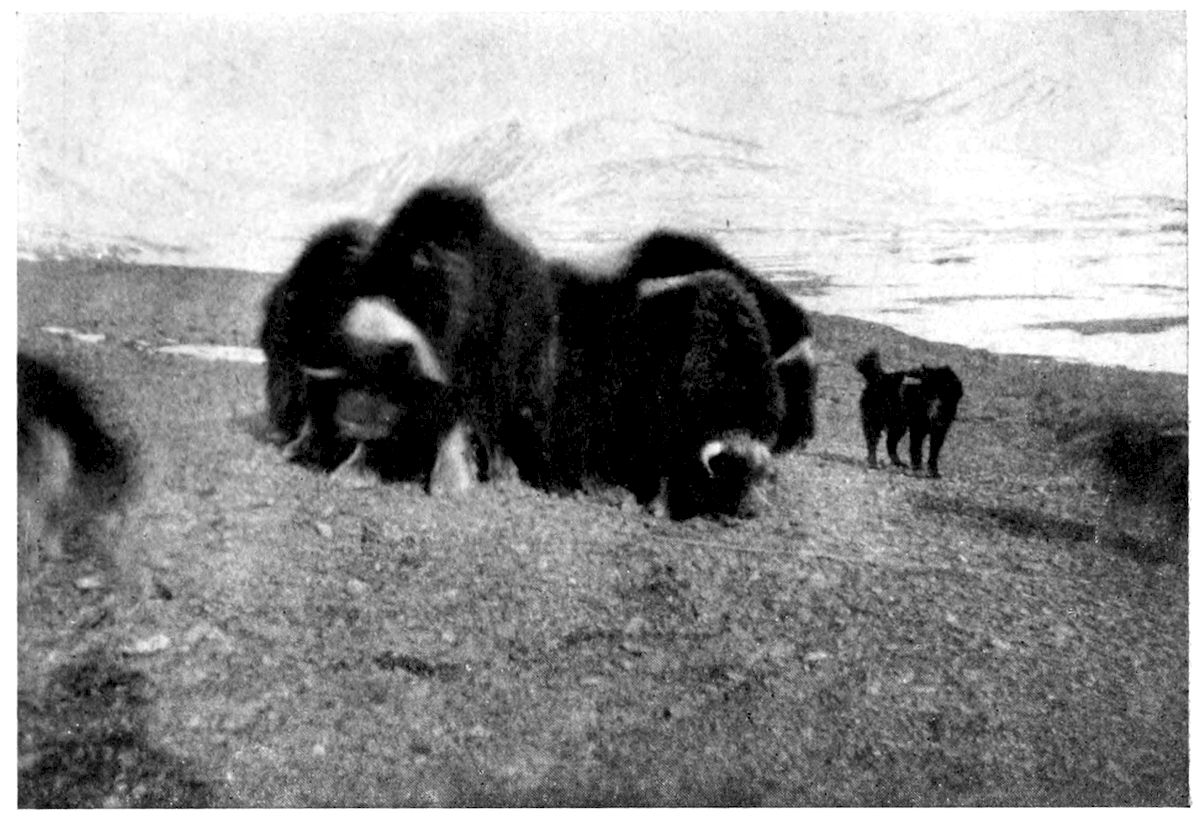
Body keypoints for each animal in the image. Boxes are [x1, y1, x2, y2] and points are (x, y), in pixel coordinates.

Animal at [855, 349, 963, 478]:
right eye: (928, 394)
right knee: (872, 441)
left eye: (944, 395)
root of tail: (877, 378)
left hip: (898, 426)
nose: (933, 413)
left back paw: (898, 463)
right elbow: (916, 449)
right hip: (876, 420)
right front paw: (918, 469)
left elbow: (934, 452)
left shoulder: (940, 432)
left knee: (890, 443)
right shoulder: (917, 429)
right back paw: (873, 463)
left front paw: (934, 472)